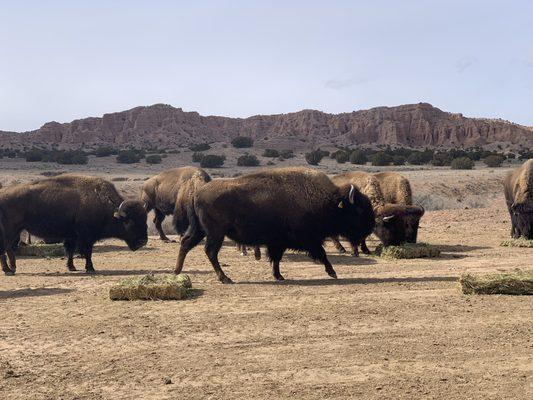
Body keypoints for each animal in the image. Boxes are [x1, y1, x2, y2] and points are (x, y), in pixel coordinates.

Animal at [0, 175, 147, 276]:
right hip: (10, 230)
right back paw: (8, 270)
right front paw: (90, 268)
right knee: (5, 248)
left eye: (145, 219)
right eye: (129, 221)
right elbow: (87, 252)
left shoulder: (72, 236)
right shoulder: (86, 237)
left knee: (8, 248)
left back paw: (12, 269)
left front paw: (72, 267)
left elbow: (70, 251)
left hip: (15, 230)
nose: (143, 241)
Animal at [175, 167, 374, 282]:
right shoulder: (309, 240)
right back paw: (225, 278)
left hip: (201, 230)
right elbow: (322, 254)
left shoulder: (278, 243)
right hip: (216, 233)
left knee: (186, 243)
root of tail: (197, 193)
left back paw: (177, 271)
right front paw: (333, 273)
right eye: (358, 209)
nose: (371, 225)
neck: (327, 201)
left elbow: (276, 259)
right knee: (210, 251)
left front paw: (278, 276)